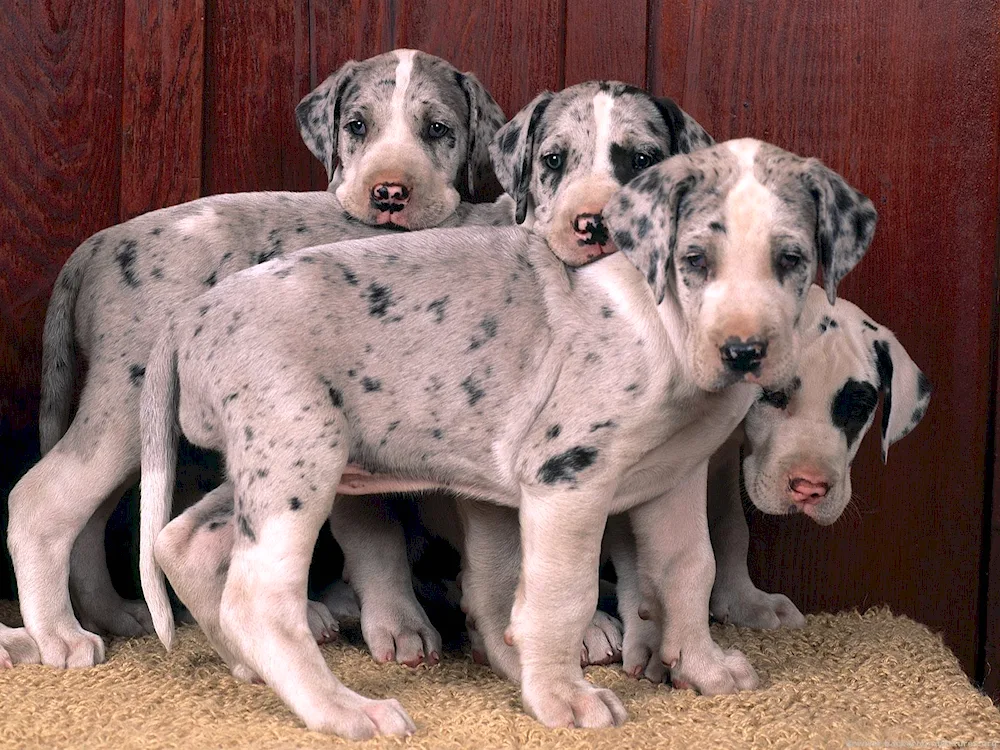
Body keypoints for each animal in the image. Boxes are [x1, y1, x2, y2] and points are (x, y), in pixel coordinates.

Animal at [5, 47, 508, 668]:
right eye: (356, 125)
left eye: (439, 129)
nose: (390, 195)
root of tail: (98, 245)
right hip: (125, 405)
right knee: (42, 502)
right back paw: (58, 634)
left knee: (93, 517)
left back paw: (112, 612)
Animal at [139, 137, 876, 740]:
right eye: (695, 259)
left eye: (792, 259)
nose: (745, 351)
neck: (660, 323)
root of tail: (191, 315)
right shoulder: (567, 479)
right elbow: (563, 595)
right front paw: (563, 700)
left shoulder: (674, 478)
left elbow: (689, 570)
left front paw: (701, 666)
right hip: (297, 460)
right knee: (260, 598)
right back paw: (341, 710)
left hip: (273, 468)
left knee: (185, 540)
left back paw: (248, 667)